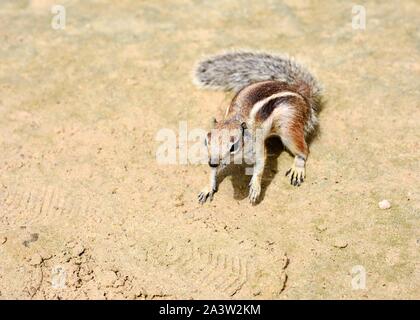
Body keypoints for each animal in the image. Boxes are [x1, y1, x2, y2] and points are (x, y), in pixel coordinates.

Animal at [194, 51, 322, 204]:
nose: (213, 163)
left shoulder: (258, 143)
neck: (235, 118)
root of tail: (299, 92)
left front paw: (255, 187)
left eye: (233, 146)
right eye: (206, 141)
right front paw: (208, 187)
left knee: (303, 150)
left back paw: (298, 168)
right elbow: (213, 172)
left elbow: (260, 164)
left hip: (289, 126)